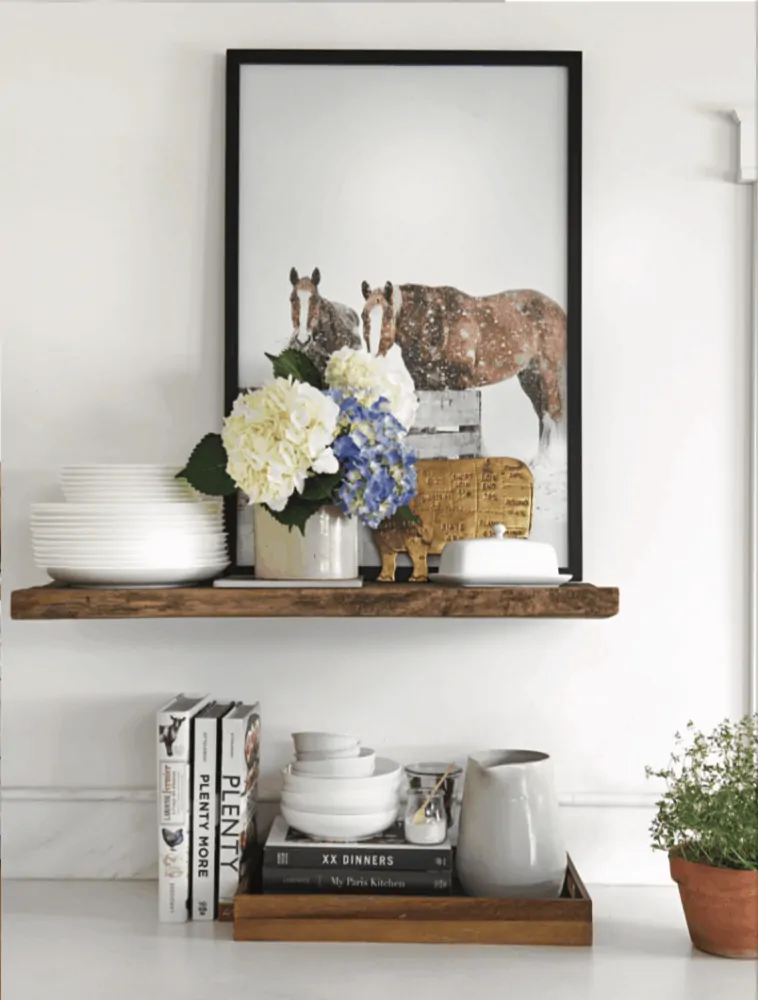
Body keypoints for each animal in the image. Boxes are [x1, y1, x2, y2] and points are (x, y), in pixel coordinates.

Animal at [364, 280, 568, 456]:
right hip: (529, 377)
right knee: (542, 414)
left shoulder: (461, 383)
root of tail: (558, 310)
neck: (433, 321)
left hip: (548, 373)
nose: (372, 359)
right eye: (363, 316)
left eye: (387, 315)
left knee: (552, 414)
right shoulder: (426, 384)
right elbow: (429, 425)